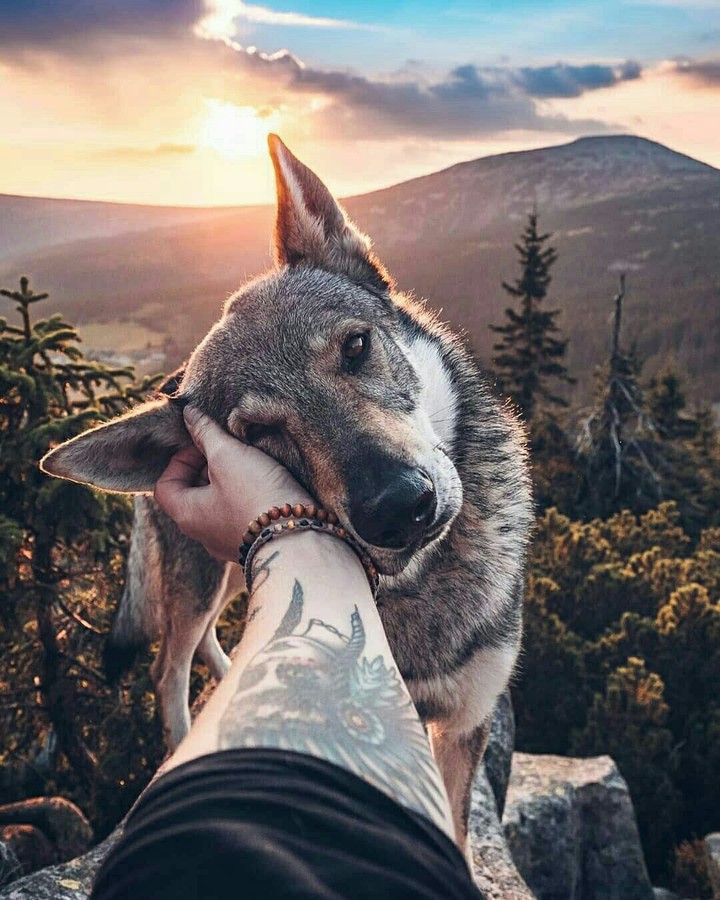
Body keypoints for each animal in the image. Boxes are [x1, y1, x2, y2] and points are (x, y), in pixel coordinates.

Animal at [41, 135, 533, 850]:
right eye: (260, 433)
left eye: (355, 346)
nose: (398, 509)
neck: (417, 591)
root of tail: (163, 385)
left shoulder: (465, 721)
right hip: (199, 580)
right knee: (168, 668)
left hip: (230, 574)